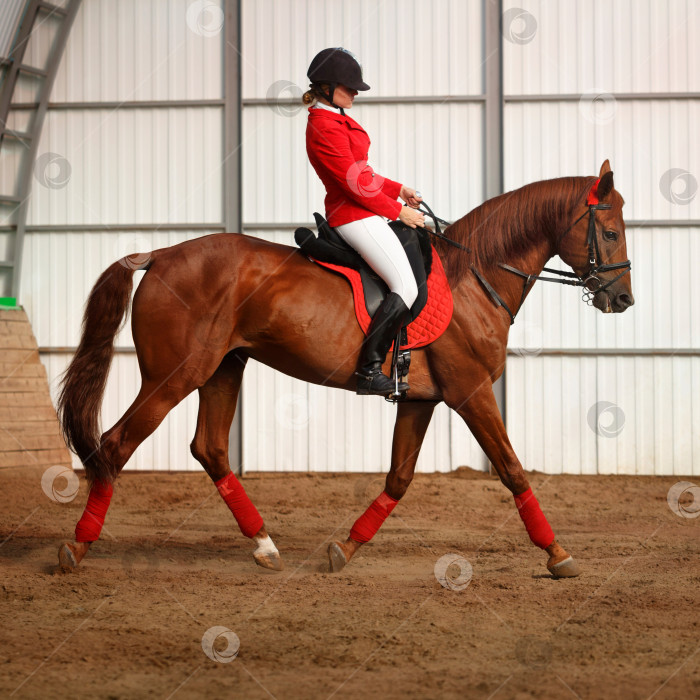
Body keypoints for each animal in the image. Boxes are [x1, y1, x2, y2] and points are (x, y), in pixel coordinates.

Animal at [56, 161, 636, 576]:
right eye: (609, 234)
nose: (623, 299)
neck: (476, 274)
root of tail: (159, 255)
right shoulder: (471, 392)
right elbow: (512, 469)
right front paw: (558, 554)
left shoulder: (421, 400)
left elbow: (399, 478)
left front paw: (346, 548)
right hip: (175, 375)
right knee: (115, 445)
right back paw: (77, 547)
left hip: (222, 369)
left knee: (210, 449)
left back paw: (265, 545)